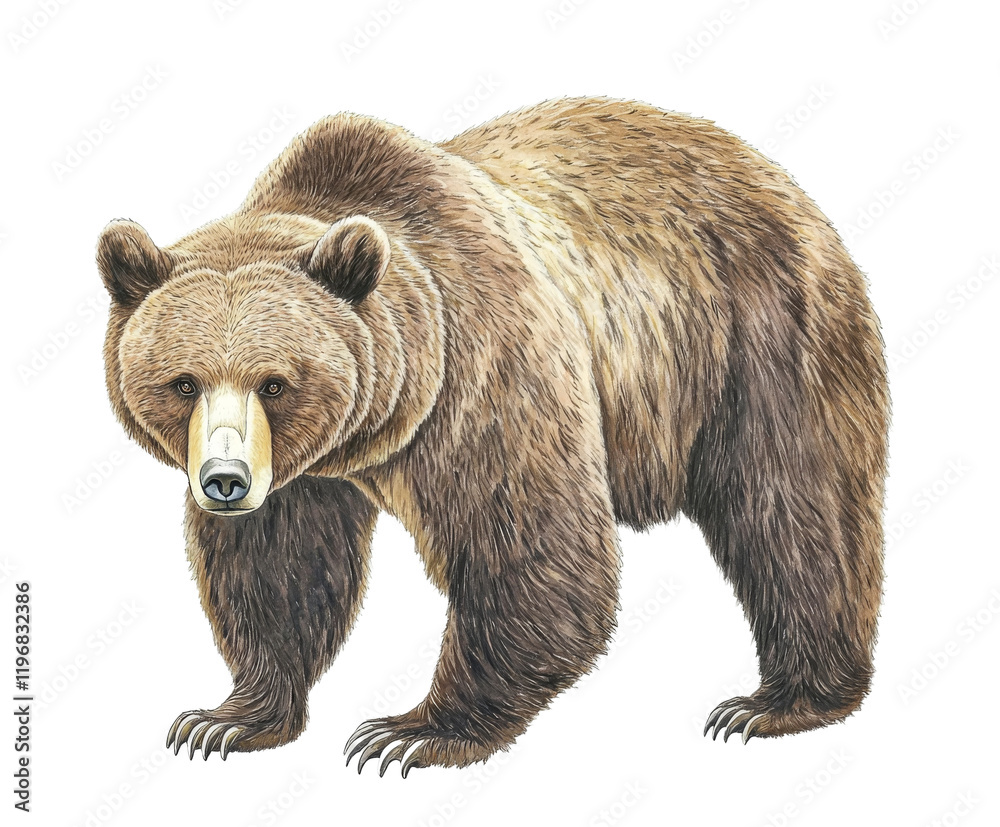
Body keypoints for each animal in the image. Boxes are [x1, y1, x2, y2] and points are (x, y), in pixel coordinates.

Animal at [98, 96, 889, 777]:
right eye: (184, 382)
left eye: (274, 382)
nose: (225, 481)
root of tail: (772, 174)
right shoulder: (300, 474)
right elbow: (276, 566)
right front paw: (226, 718)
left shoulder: (484, 362)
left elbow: (527, 542)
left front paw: (412, 731)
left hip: (764, 335)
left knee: (793, 510)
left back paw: (779, 701)